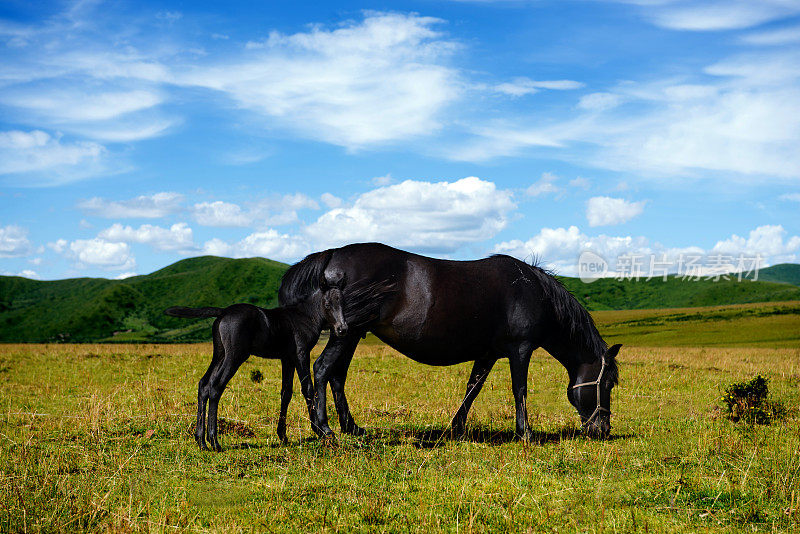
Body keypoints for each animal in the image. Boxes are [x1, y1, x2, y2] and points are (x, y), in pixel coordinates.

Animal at [278, 245, 620, 442]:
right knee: (322, 370)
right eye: (607, 384)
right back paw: (323, 428)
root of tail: (333, 254)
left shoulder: (488, 354)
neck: (535, 292)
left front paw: (456, 428)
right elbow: (519, 389)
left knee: (337, 376)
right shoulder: (520, 350)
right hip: (345, 333)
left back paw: (352, 428)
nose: (603, 430)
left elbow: (473, 388)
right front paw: (525, 433)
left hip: (352, 334)